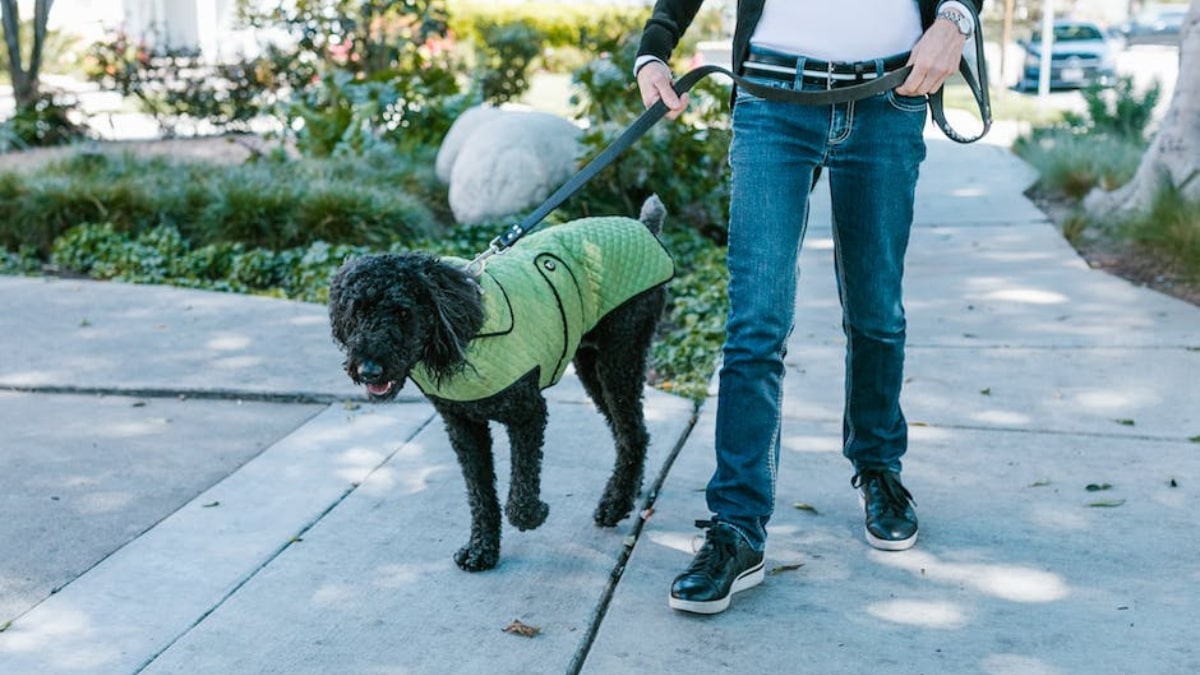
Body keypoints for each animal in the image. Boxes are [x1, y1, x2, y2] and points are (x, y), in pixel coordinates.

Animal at [328, 194, 672, 566]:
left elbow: (519, 495)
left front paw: (534, 513)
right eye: (357, 311)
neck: (460, 334)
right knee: (629, 432)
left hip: (619, 358)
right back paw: (629, 490)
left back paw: (615, 504)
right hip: (590, 366)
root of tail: (643, 227)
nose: (368, 370)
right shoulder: (463, 427)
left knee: (632, 431)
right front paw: (482, 548)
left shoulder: (528, 413)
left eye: (402, 311)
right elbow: (480, 494)